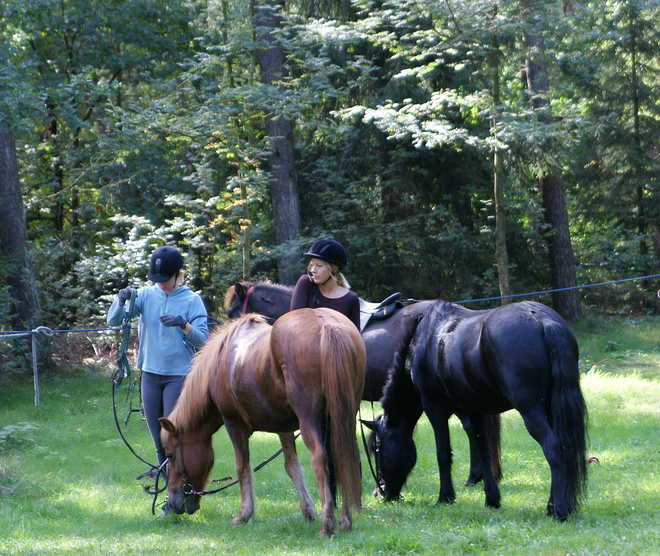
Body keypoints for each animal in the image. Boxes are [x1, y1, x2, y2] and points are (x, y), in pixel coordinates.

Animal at [159, 310, 366, 536]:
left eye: (170, 455)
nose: (172, 502)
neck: (221, 362)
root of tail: (325, 322)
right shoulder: (284, 428)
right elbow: (292, 466)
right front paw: (307, 511)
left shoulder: (233, 425)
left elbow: (243, 468)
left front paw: (244, 515)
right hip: (344, 418)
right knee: (342, 458)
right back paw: (345, 520)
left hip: (309, 420)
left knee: (321, 459)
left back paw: (327, 524)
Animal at [366, 300, 588, 520]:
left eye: (377, 448)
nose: (381, 493)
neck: (424, 340)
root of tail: (543, 319)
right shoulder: (476, 411)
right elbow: (484, 451)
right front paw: (492, 499)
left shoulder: (433, 406)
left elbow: (443, 453)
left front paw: (445, 498)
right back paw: (554, 505)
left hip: (530, 410)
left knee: (553, 447)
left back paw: (559, 509)